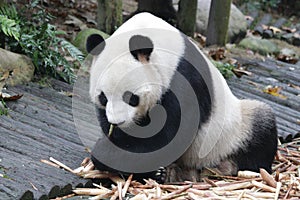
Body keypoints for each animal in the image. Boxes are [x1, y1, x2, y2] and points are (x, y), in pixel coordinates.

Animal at [85, 11, 278, 182]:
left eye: (131, 97)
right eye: (103, 97)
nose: (117, 122)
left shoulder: (184, 79)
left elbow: (168, 137)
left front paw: (104, 152)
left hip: (232, 132)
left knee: (262, 128)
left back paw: (233, 167)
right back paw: (163, 174)